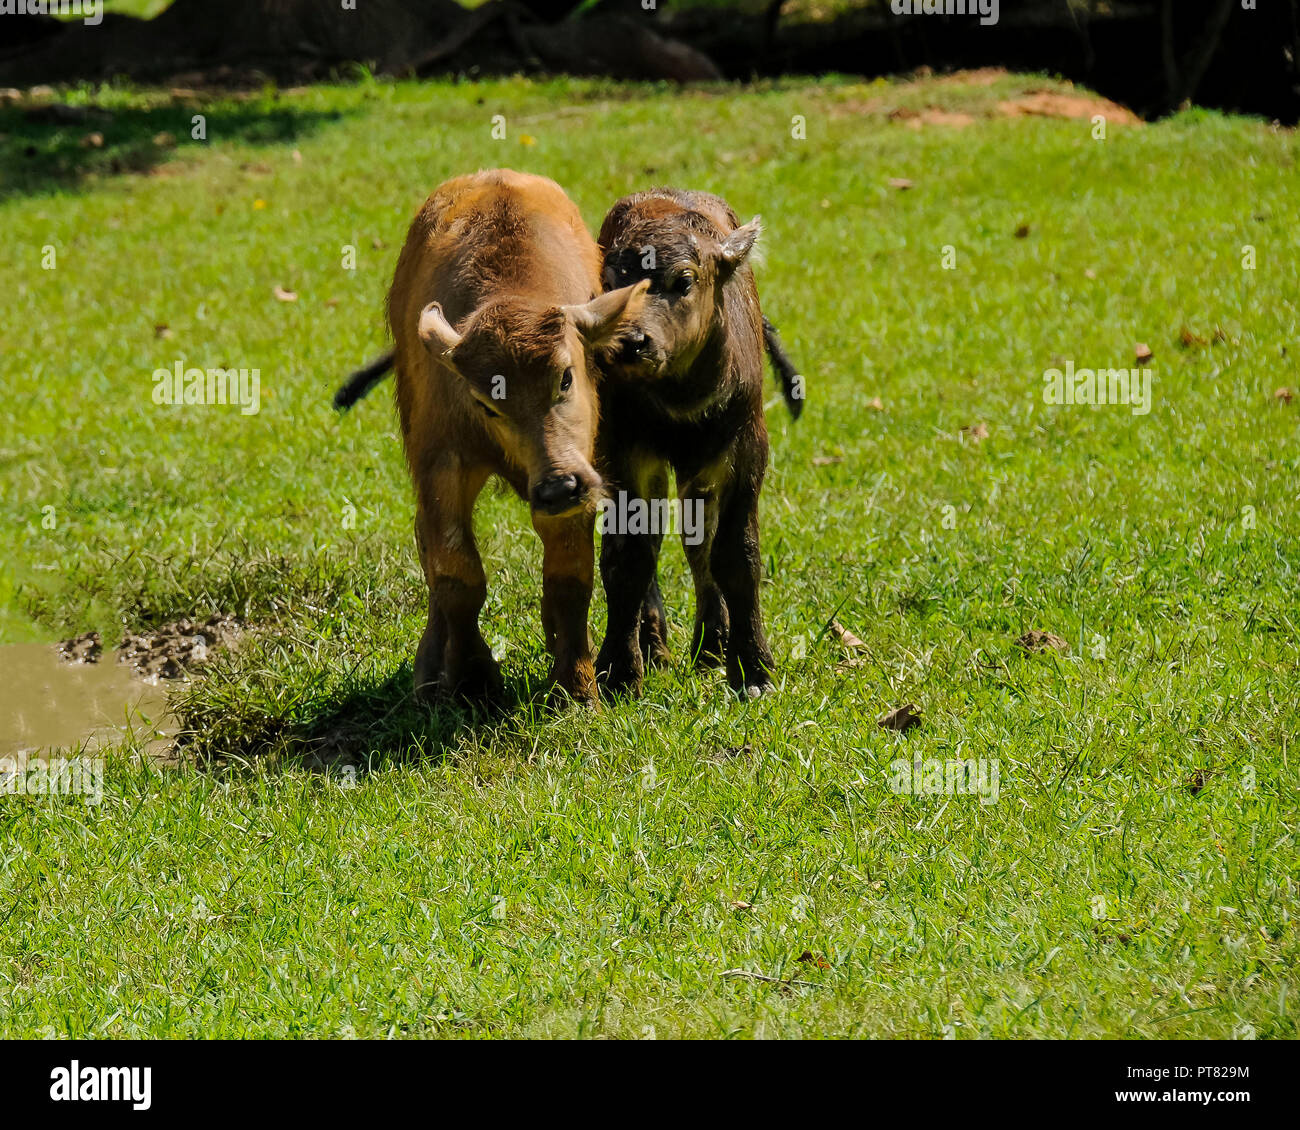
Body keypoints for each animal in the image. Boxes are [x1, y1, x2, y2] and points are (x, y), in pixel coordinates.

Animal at [384, 169, 650, 707]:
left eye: (566, 377)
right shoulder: (441, 463)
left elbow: (569, 577)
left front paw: (577, 685)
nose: (559, 486)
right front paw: (471, 679)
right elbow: (456, 573)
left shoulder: (579, 476)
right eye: (486, 403)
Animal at [595, 185, 795, 696]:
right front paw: (619, 670)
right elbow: (629, 557)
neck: (679, 401)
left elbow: (735, 556)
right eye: (611, 282)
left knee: (698, 542)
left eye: (682, 280)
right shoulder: (624, 454)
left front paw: (752, 668)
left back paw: (710, 645)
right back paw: (656, 645)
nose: (630, 342)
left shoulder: (745, 453)